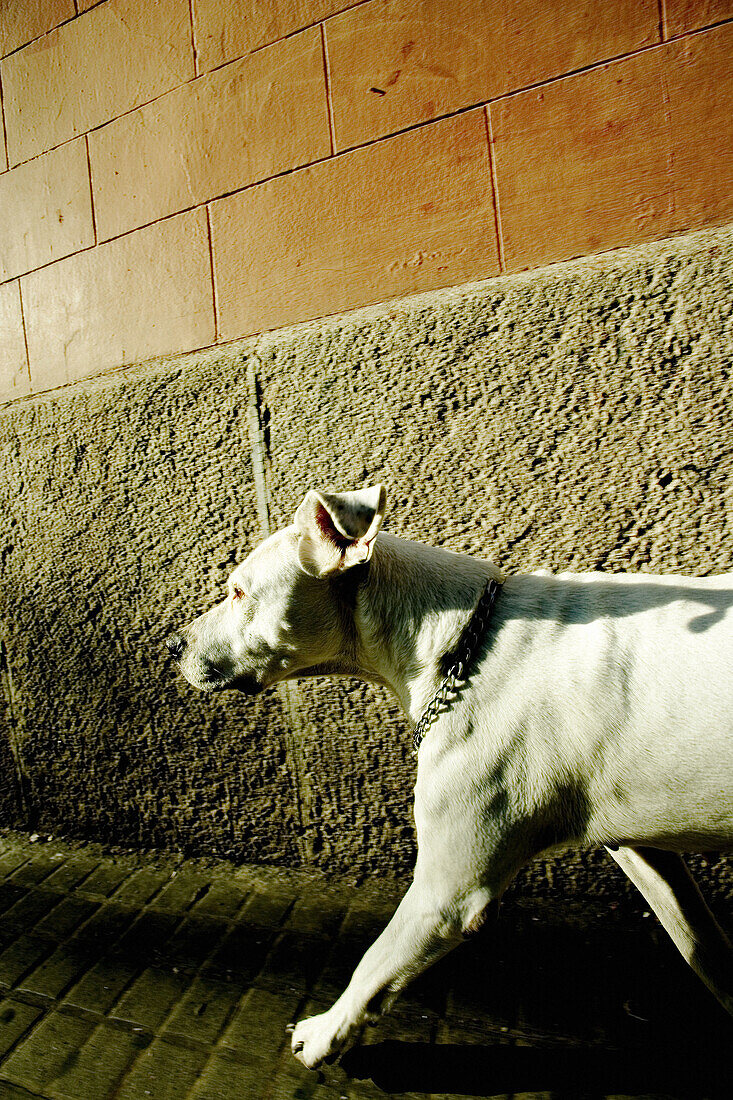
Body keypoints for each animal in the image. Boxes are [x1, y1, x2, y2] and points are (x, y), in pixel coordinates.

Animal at [167, 484, 730, 1064]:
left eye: (238, 591)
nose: (172, 645)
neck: (464, 644)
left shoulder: (450, 891)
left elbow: (375, 963)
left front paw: (325, 1033)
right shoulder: (646, 856)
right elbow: (704, 949)